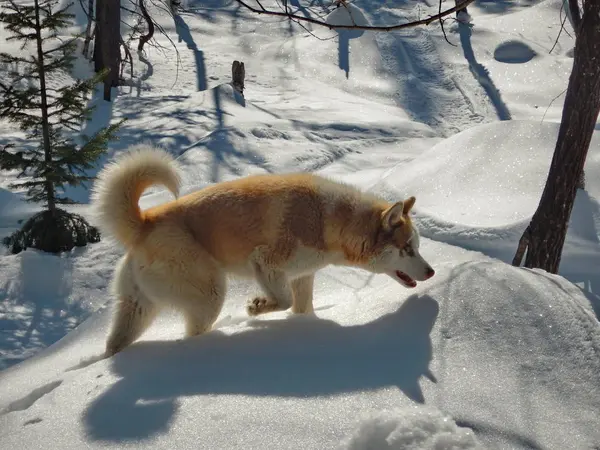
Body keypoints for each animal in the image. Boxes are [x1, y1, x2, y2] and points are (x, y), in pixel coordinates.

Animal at [90, 144, 436, 356]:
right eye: (407, 249)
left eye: (416, 247)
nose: (432, 271)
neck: (329, 220)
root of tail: (146, 221)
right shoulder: (266, 262)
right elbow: (282, 301)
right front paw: (257, 308)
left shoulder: (302, 276)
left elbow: (300, 308)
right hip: (210, 294)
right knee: (194, 331)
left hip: (137, 309)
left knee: (115, 344)